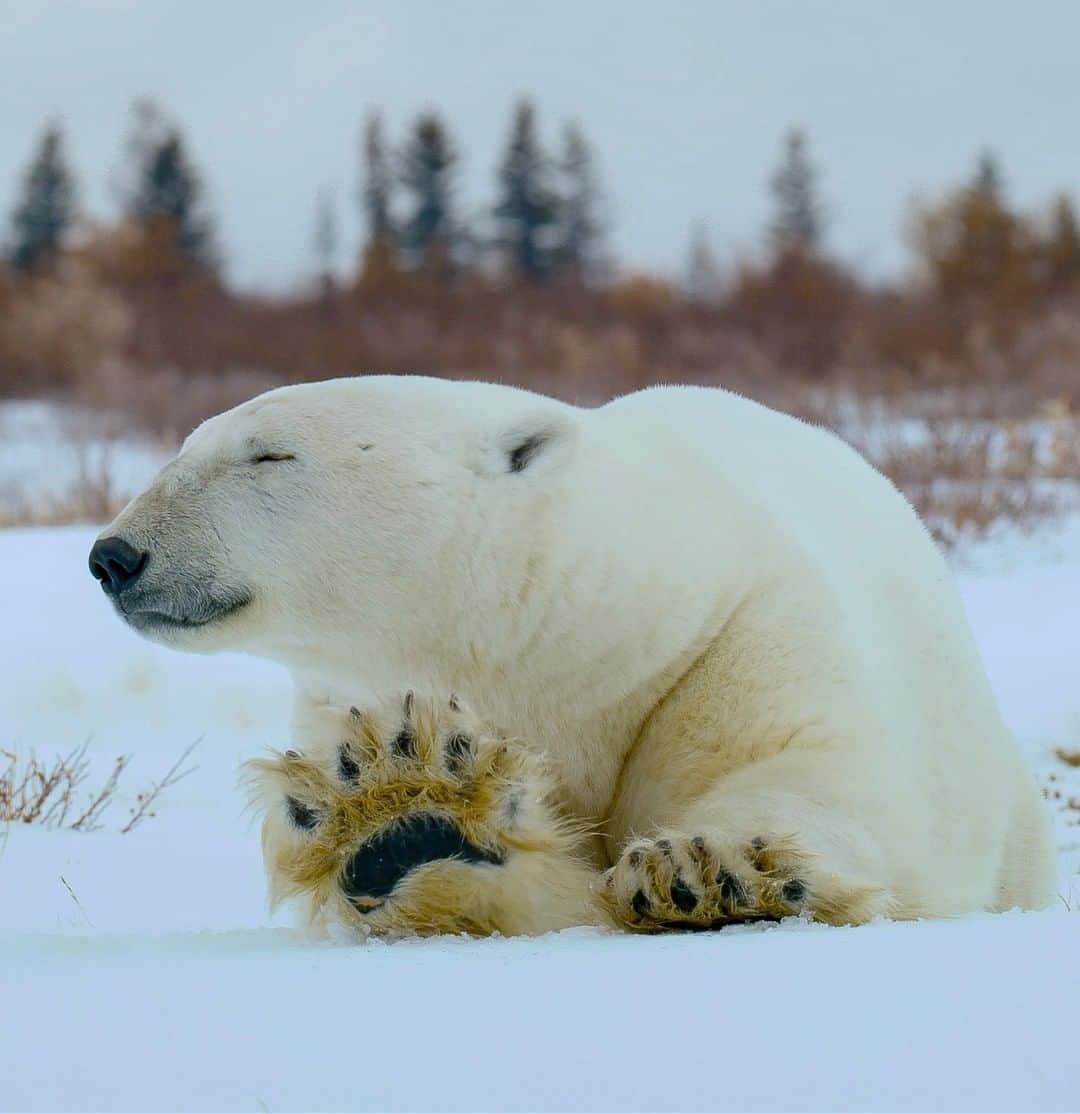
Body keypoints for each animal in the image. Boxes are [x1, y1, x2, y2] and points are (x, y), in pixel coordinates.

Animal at [90, 374, 1052, 931]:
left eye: (268, 455)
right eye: (183, 447)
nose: (114, 555)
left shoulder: (735, 629)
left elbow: (823, 774)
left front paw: (704, 869)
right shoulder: (345, 701)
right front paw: (401, 809)